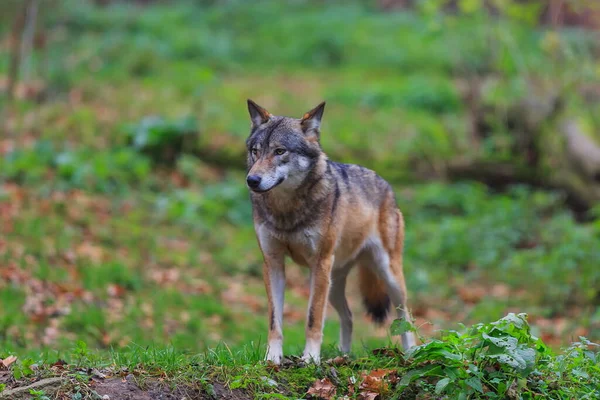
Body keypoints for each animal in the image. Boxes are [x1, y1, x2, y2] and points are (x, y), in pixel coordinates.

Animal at [246, 99, 414, 362]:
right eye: (256, 150)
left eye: (280, 151)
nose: (252, 180)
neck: (287, 209)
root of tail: (385, 183)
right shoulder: (273, 263)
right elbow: (275, 320)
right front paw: (272, 359)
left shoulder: (319, 263)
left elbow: (313, 318)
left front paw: (310, 359)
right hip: (333, 285)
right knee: (349, 316)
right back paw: (343, 356)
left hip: (387, 275)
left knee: (404, 315)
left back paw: (412, 353)